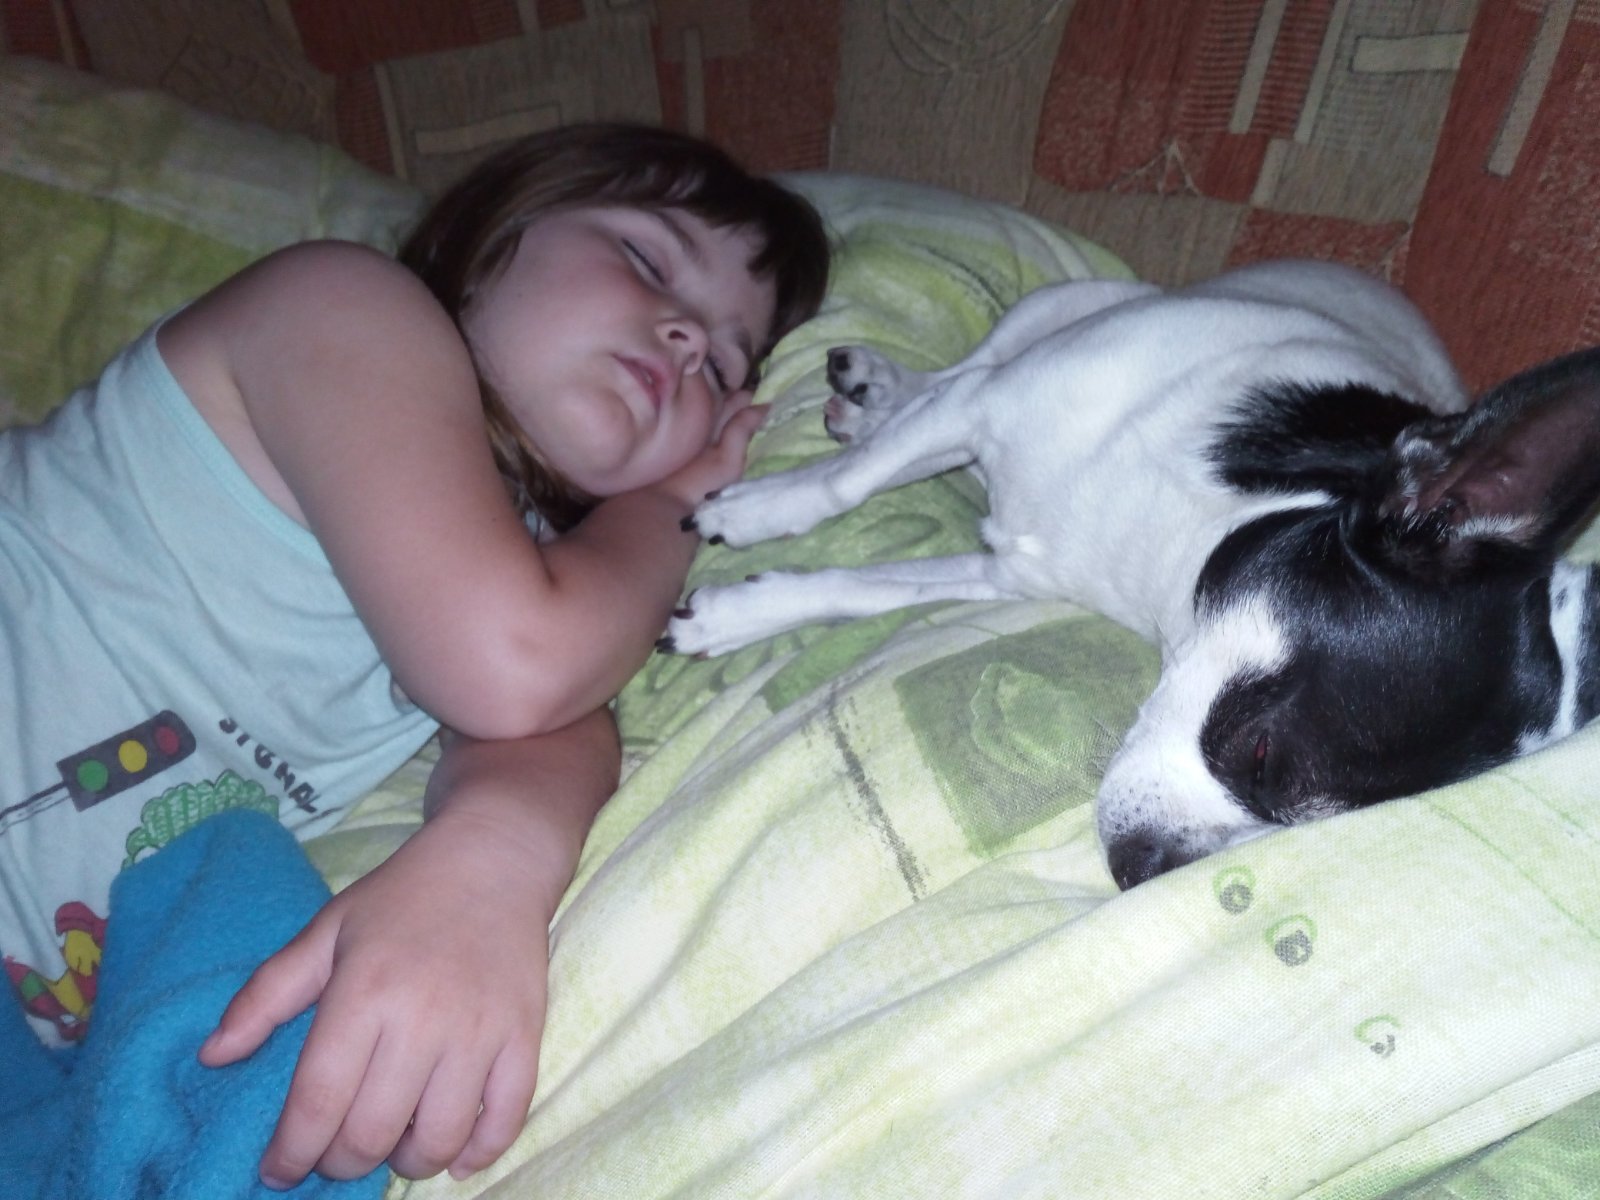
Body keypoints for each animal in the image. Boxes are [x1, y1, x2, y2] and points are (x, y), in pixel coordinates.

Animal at [660, 260, 1600, 889]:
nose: (1144, 868)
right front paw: (751, 512)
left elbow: (857, 587)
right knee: (956, 373)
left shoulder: (1004, 573)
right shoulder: (986, 407)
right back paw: (880, 389)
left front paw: (731, 615)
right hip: (1053, 312)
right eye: (1261, 754)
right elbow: (841, 489)